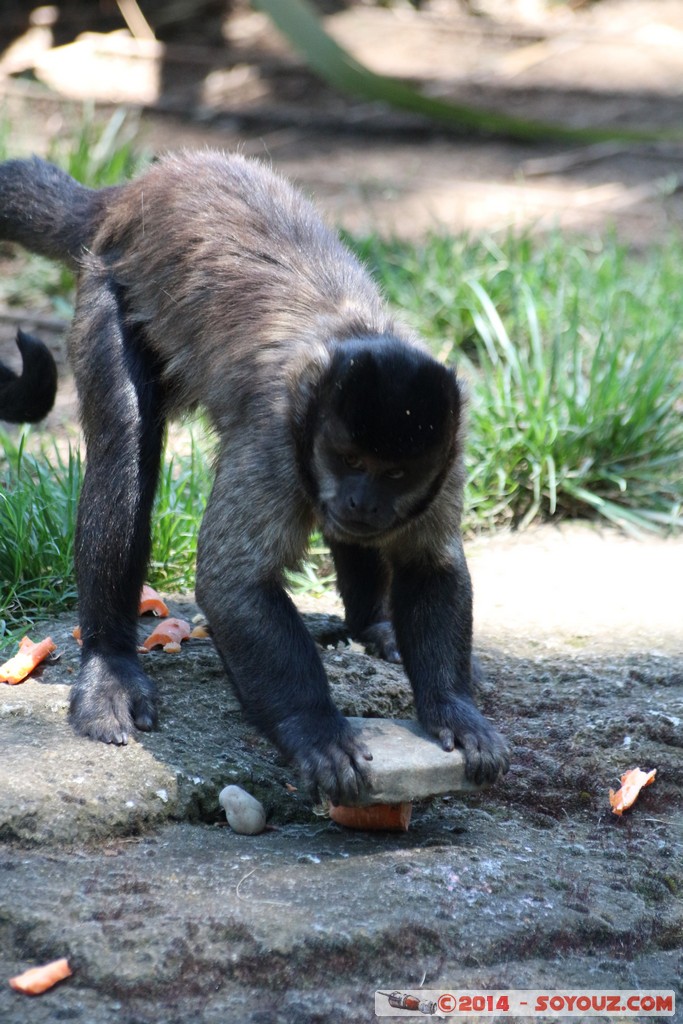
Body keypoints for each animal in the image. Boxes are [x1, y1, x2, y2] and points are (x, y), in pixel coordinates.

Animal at [0, 153, 509, 798]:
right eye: (349, 461)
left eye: (394, 473)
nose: (363, 502)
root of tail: (139, 188)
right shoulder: (273, 438)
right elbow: (231, 583)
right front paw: (314, 728)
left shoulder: (451, 448)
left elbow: (432, 565)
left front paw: (452, 707)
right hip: (108, 282)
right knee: (124, 446)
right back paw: (110, 663)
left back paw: (373, 624)